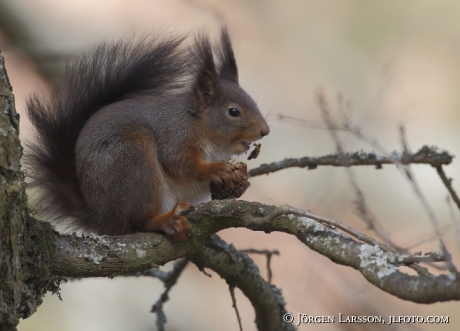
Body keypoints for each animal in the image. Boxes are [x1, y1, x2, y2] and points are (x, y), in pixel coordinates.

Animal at [24, 28, 270, 241]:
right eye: (234, 112)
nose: (264, 131)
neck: (196, 123)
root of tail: (101, 221)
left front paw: (242, 182)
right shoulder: (174, 136)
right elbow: (181, 165)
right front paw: (216, 169)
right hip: (133, 162)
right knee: (137, 221)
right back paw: (164, 221)